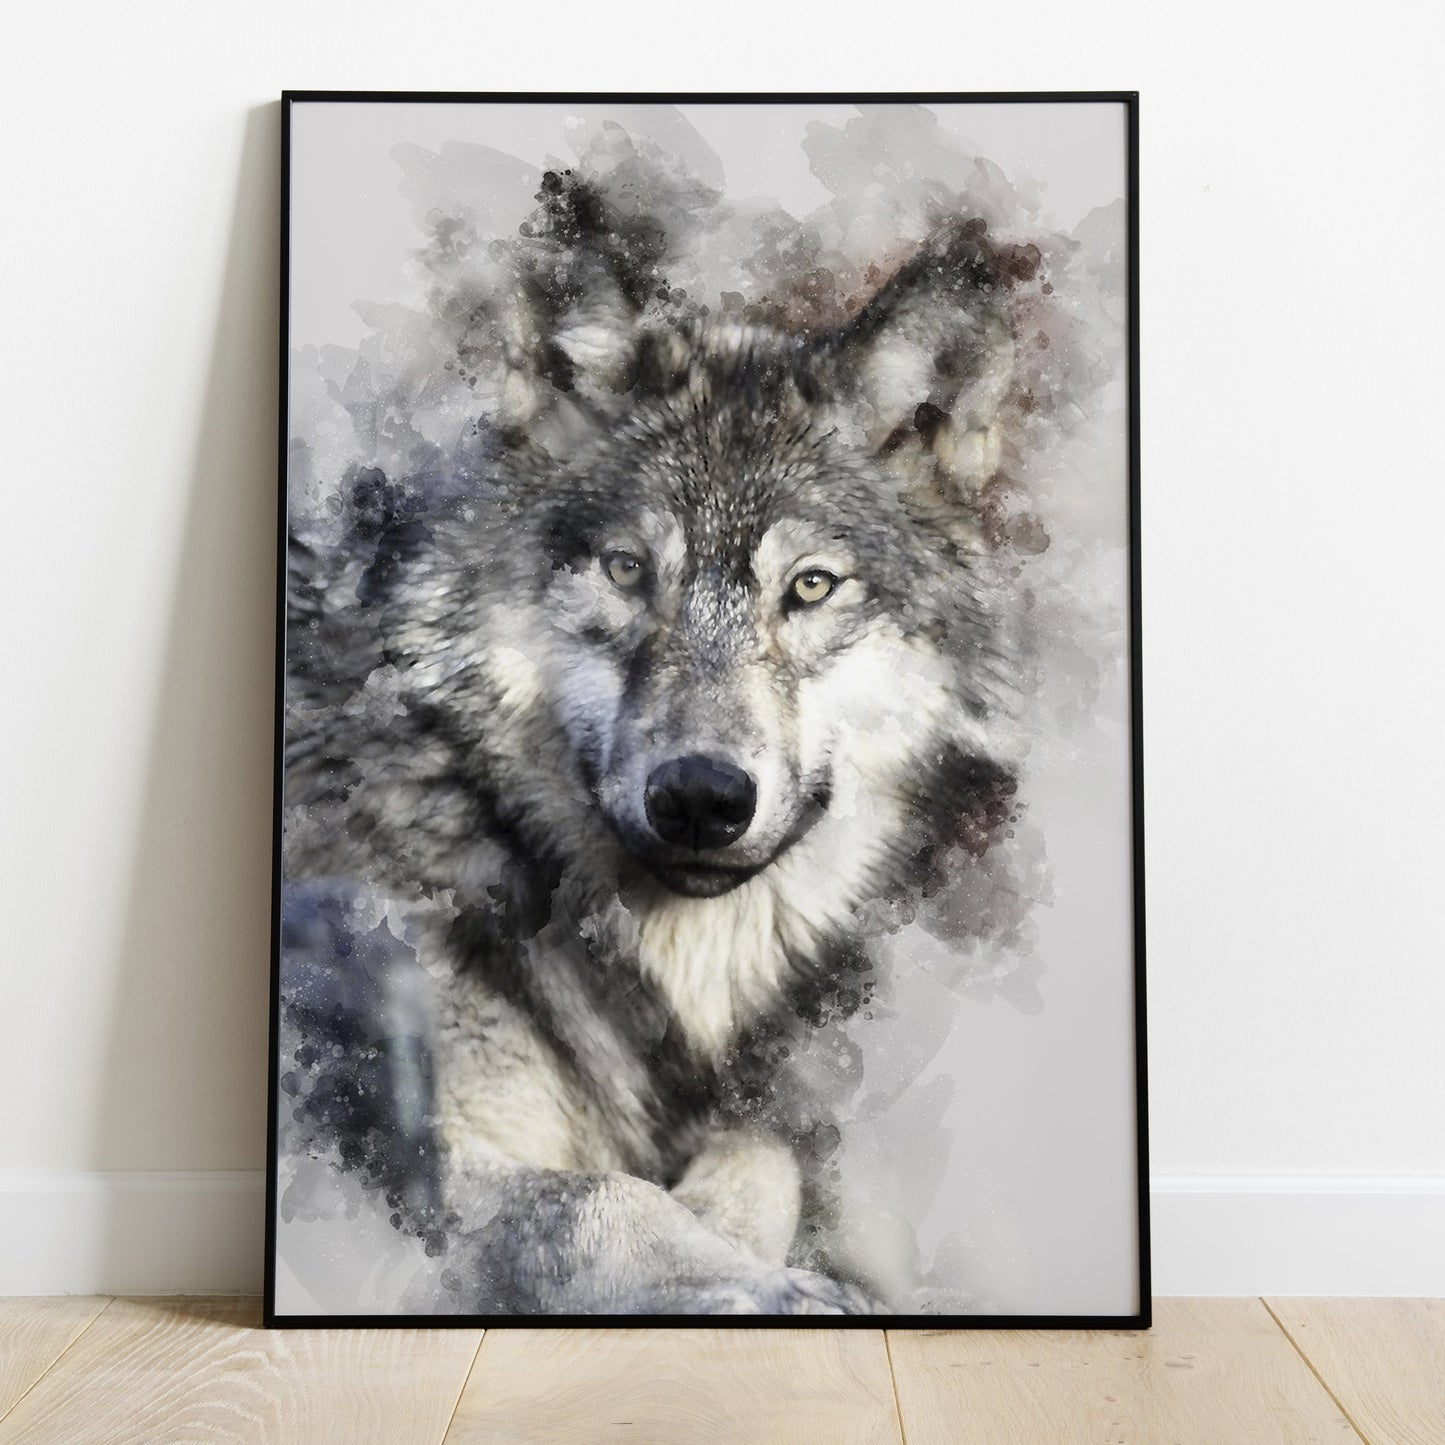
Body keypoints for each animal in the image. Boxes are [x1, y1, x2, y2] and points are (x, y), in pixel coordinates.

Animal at [279, 160, 1042, 1315]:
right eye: (629, 568)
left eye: (808, 586)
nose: (698, 796)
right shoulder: (392, 1152)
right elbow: (600, 1198)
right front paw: (765, 1290)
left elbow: (760, 1160)